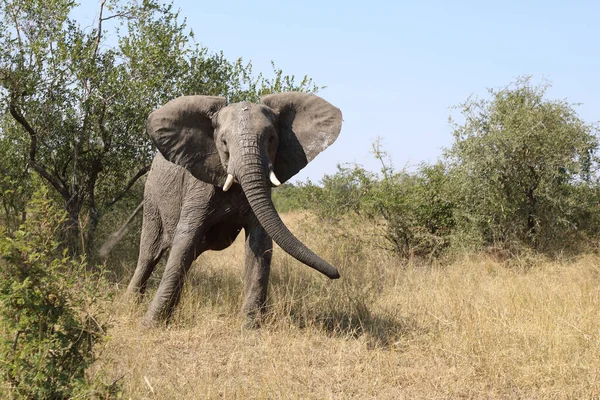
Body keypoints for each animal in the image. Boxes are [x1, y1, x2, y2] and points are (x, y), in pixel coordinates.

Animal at [126, 92, 342, 326]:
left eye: (271, 139)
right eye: (223, 142)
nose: (336, 273)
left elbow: (260, 244)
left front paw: (250, 325)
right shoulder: (198, 187)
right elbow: (185, 239)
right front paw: (149, 325)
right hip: (152, 198)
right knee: (149, 255)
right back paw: (129, 304)